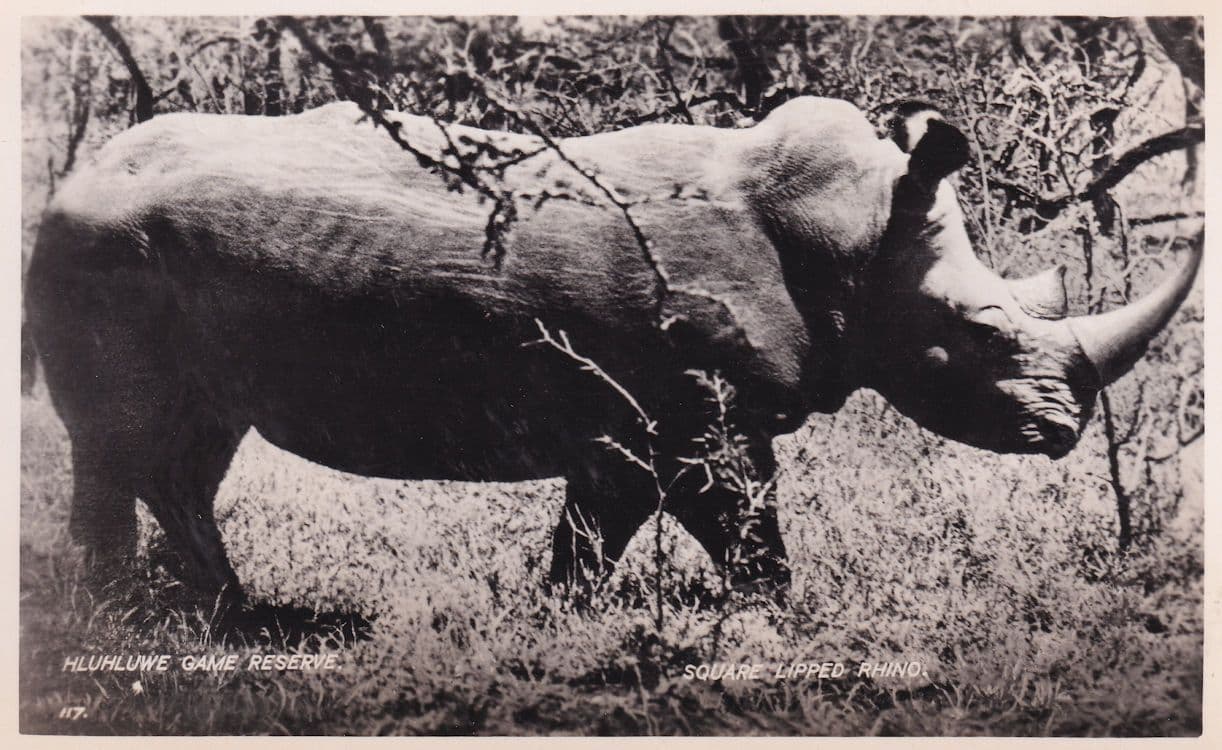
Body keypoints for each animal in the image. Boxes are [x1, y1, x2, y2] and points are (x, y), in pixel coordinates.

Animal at [25, 97, 1201, 605]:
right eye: (977, 334)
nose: (1064, 431)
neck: (856, 240)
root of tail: (66, 185)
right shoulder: (681, 412)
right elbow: (736, 521)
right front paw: (780, 614)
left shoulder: (633, 420)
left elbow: (595, 532)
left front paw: (558, 614)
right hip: (100, 249)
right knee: (135, 439)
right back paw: (168, 613)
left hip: (129, 254)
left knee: (183, 446)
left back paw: (204, 610)